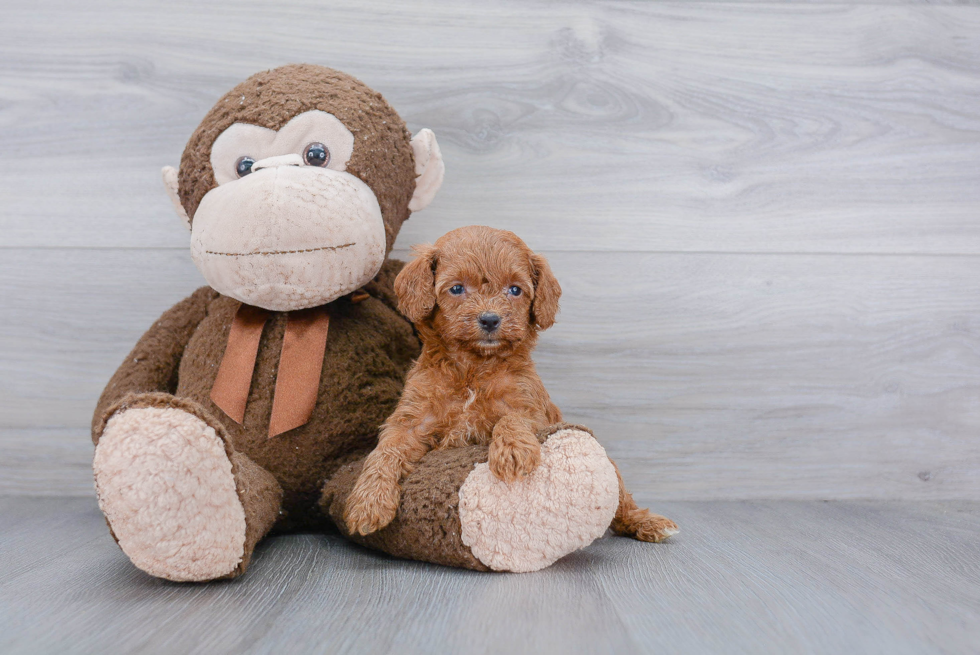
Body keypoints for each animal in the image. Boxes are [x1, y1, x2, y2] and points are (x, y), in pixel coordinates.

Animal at [346, 226, 680, 544]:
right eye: (457, 288)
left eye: (515, 290)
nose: (490, 319)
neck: (474, 368)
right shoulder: (412, 421)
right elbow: (384, 452)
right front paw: (368, 502)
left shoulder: (532, 409)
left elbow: (511, 418)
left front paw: (513, 451)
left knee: (621, 501)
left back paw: (647, 522)